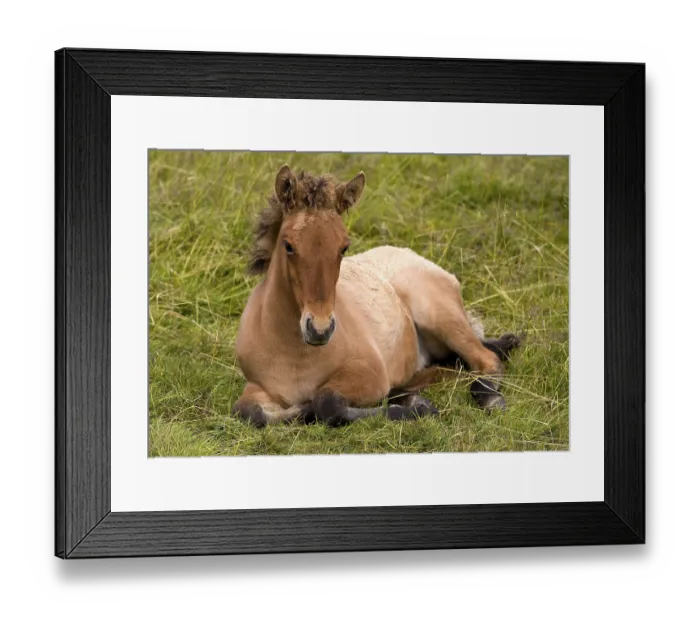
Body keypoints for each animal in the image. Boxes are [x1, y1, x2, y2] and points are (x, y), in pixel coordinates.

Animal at [232, 165, 520, 427]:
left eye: (343, 247)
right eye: (288, 246)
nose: (320, 329)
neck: (295, 354)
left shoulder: (369, 374)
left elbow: (325, 402)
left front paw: (418, 408)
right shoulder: (258, 387)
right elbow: (249, 412)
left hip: (439, 316)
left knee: (486, 360)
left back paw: (490, 399)